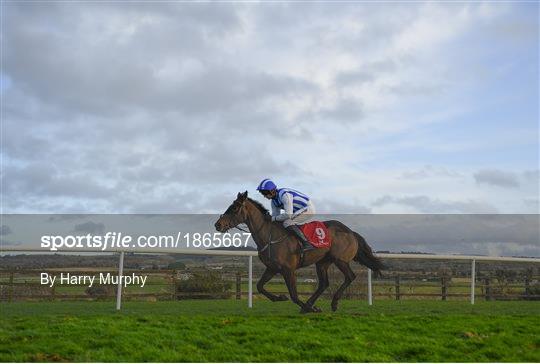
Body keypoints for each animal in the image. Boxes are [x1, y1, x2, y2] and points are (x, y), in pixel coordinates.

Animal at [215, 192, 384, 314]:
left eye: (234, 208)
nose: (218, 224)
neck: (270, 236)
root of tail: (351, 232)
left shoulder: (288, 270)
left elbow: (294, 295)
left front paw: (308, 308)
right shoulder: (272, 268)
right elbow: (259, 286)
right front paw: (280, 297)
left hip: (340, 260)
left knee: (350, 277)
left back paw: (333, 303)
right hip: (322, 262)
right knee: (324, 283)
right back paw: (311, 303)